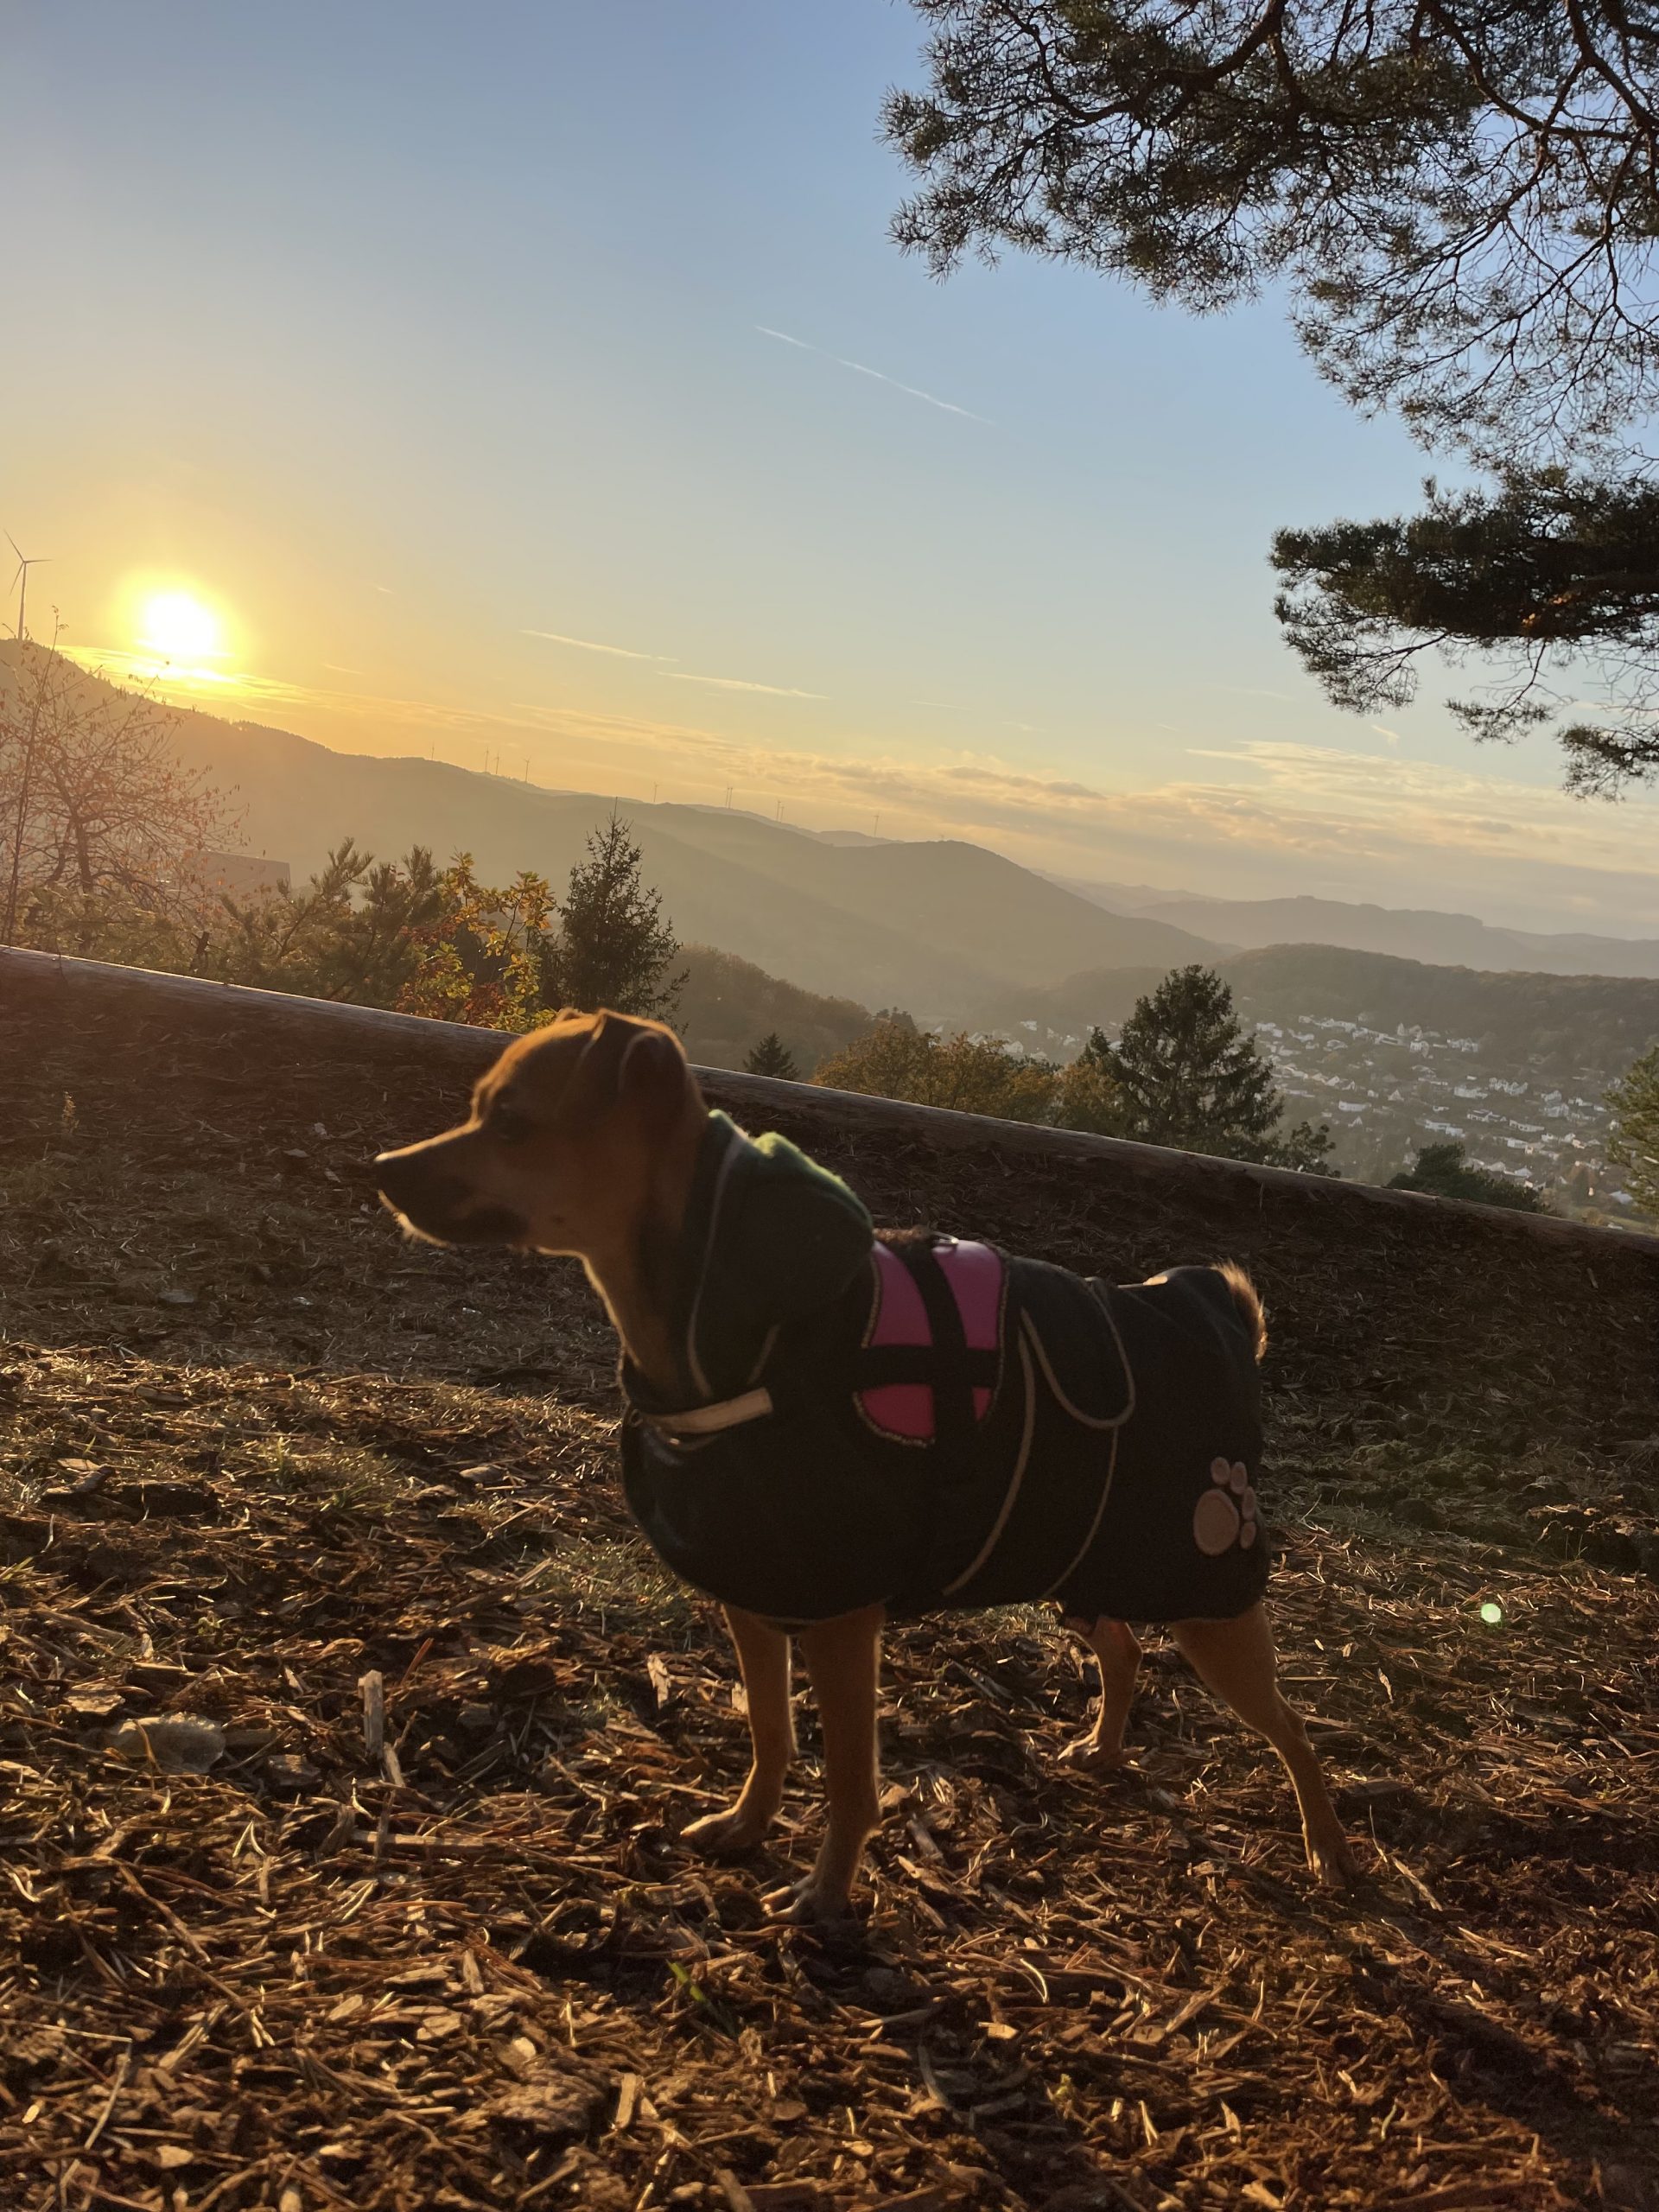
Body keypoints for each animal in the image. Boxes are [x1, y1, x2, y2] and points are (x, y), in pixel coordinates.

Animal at [374, 1008, 1355, 1918]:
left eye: (511, 1120)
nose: (382, 1166)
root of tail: (1226, 1317)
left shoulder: (842, 1622)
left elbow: (850, 1775)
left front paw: (827, 1893)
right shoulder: (756, 1596)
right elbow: (771, 1732)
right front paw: (747, 1824)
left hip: (1208, 1599)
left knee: (1295, 1729)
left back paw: (1328, 1849)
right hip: (1078, 1564)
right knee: (1123, 1649)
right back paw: (1106, 1748)